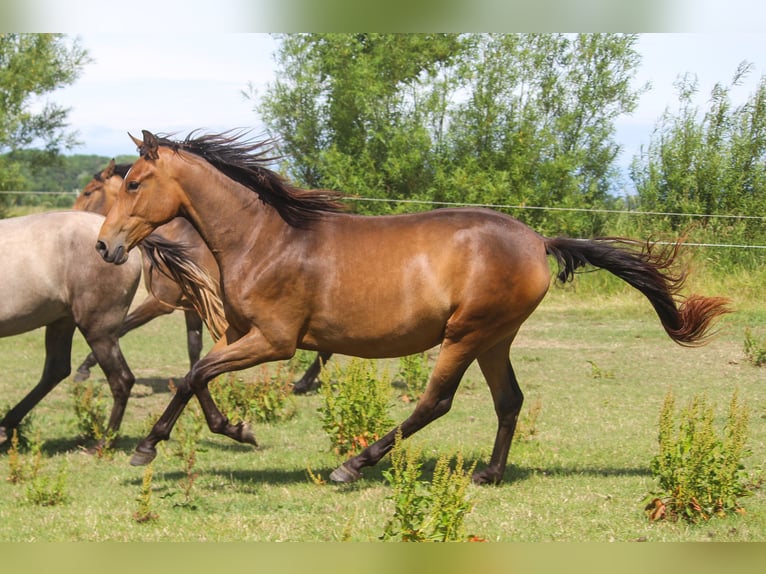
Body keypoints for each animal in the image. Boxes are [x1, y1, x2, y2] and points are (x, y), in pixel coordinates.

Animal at [0, 210, 142, 446]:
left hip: (99, 331)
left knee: (122, 379)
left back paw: (105, 443)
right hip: (62, 321)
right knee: (56, 370)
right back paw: (6, 426)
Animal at [70, 162, 326, 396]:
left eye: (88, 192)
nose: (101, 246)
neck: (180, 237)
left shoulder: (160, 302)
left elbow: (122, 328)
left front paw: (83, 369)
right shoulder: (192, 306)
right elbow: (194, 345)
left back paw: (303, 384)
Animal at [96, 132, 732, 486]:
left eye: (135, 183)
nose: (104, 247)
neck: (265, 237)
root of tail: (538, 241)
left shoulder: (274, 340)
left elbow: (195, 372)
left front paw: (146, 448)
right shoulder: (238, 331)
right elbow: (194, 375)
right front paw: (232, 431)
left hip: (466, 334)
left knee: (435, 402)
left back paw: (353, 465)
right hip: (495, 338)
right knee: (509, 401)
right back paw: (490, 474)